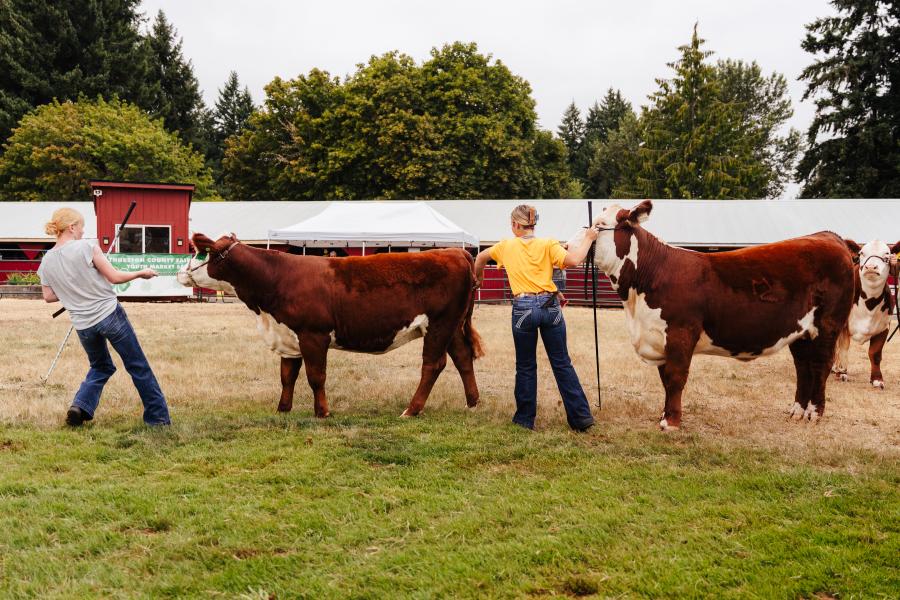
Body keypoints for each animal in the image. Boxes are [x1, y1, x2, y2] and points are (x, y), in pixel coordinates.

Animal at [177, 233, 483, 418]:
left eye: (204, 254)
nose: (180, 272)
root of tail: (457, 253)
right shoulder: (288, 335)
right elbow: (287, 376)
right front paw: (283, 410)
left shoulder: (314, 335)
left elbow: (316, 376)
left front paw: (322, 412)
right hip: (453, 327)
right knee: (463, 358)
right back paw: (472, 403)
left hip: (440, 324)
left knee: (433, 365)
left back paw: (411, 410)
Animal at [567, 201, 855, 431]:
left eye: (600, 225)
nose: (569, 246)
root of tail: (830, 236)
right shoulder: (659, 335)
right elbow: (665, 379)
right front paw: (664, 415)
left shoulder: (681, 332)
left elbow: (675, 377)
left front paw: (671, 422)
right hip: (801, 332)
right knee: (803, 367)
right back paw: (796, 411)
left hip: (827, 326)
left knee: (820, 365)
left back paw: (814, 413)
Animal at [832, 239, 900, 388]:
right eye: (861, 253)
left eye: (887, 254)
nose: (870, 267)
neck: (869, 304)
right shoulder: (843, 325)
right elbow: (843, 348)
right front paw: (842, 373)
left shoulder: (884, 327)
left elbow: (875, 354)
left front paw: (877, 379)